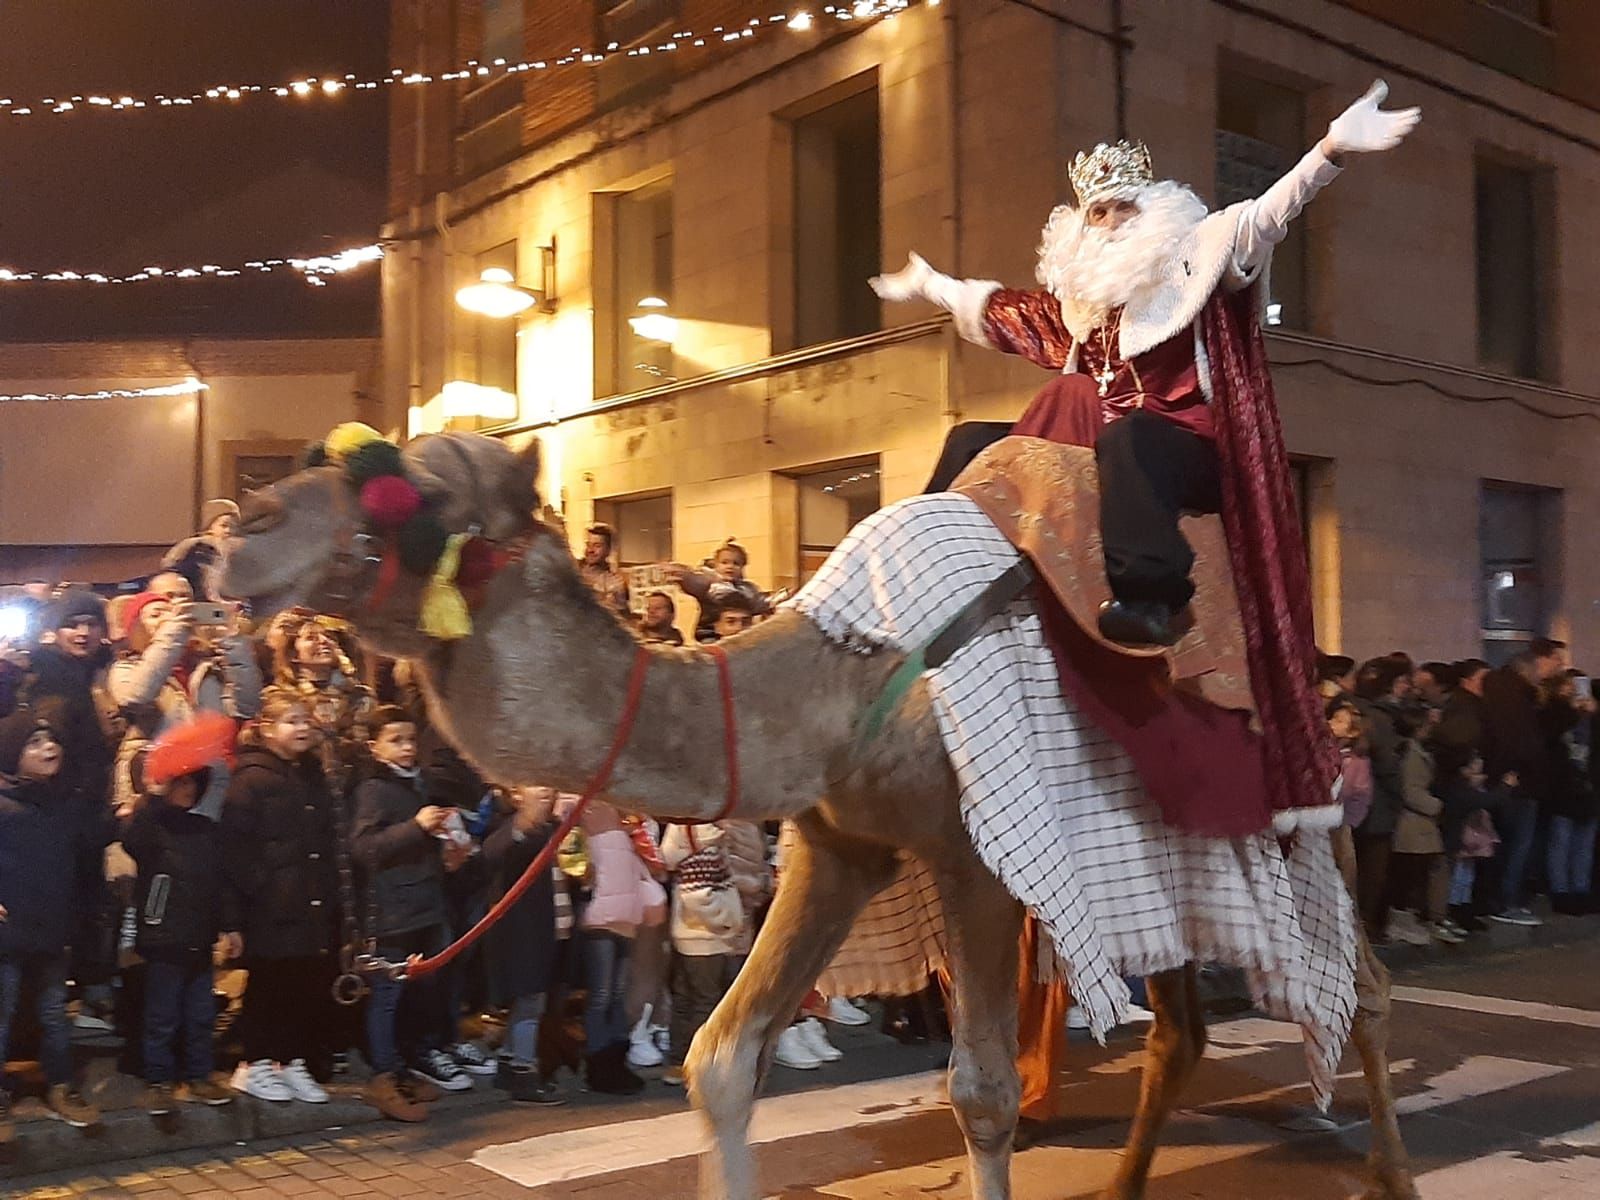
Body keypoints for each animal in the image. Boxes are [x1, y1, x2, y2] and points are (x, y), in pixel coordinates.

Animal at [219, 435, 1420, 1200]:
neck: (842, 684)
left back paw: (1391, 1173)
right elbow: (716, 1057)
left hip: (1301, 826)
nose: (245, 527)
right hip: (1165, 854)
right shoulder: (838, 847)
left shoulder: (972, 859)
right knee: (1182, 1031)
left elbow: (982, 1094)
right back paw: (1125, 1185)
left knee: (1360, 991)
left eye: (406, 494)